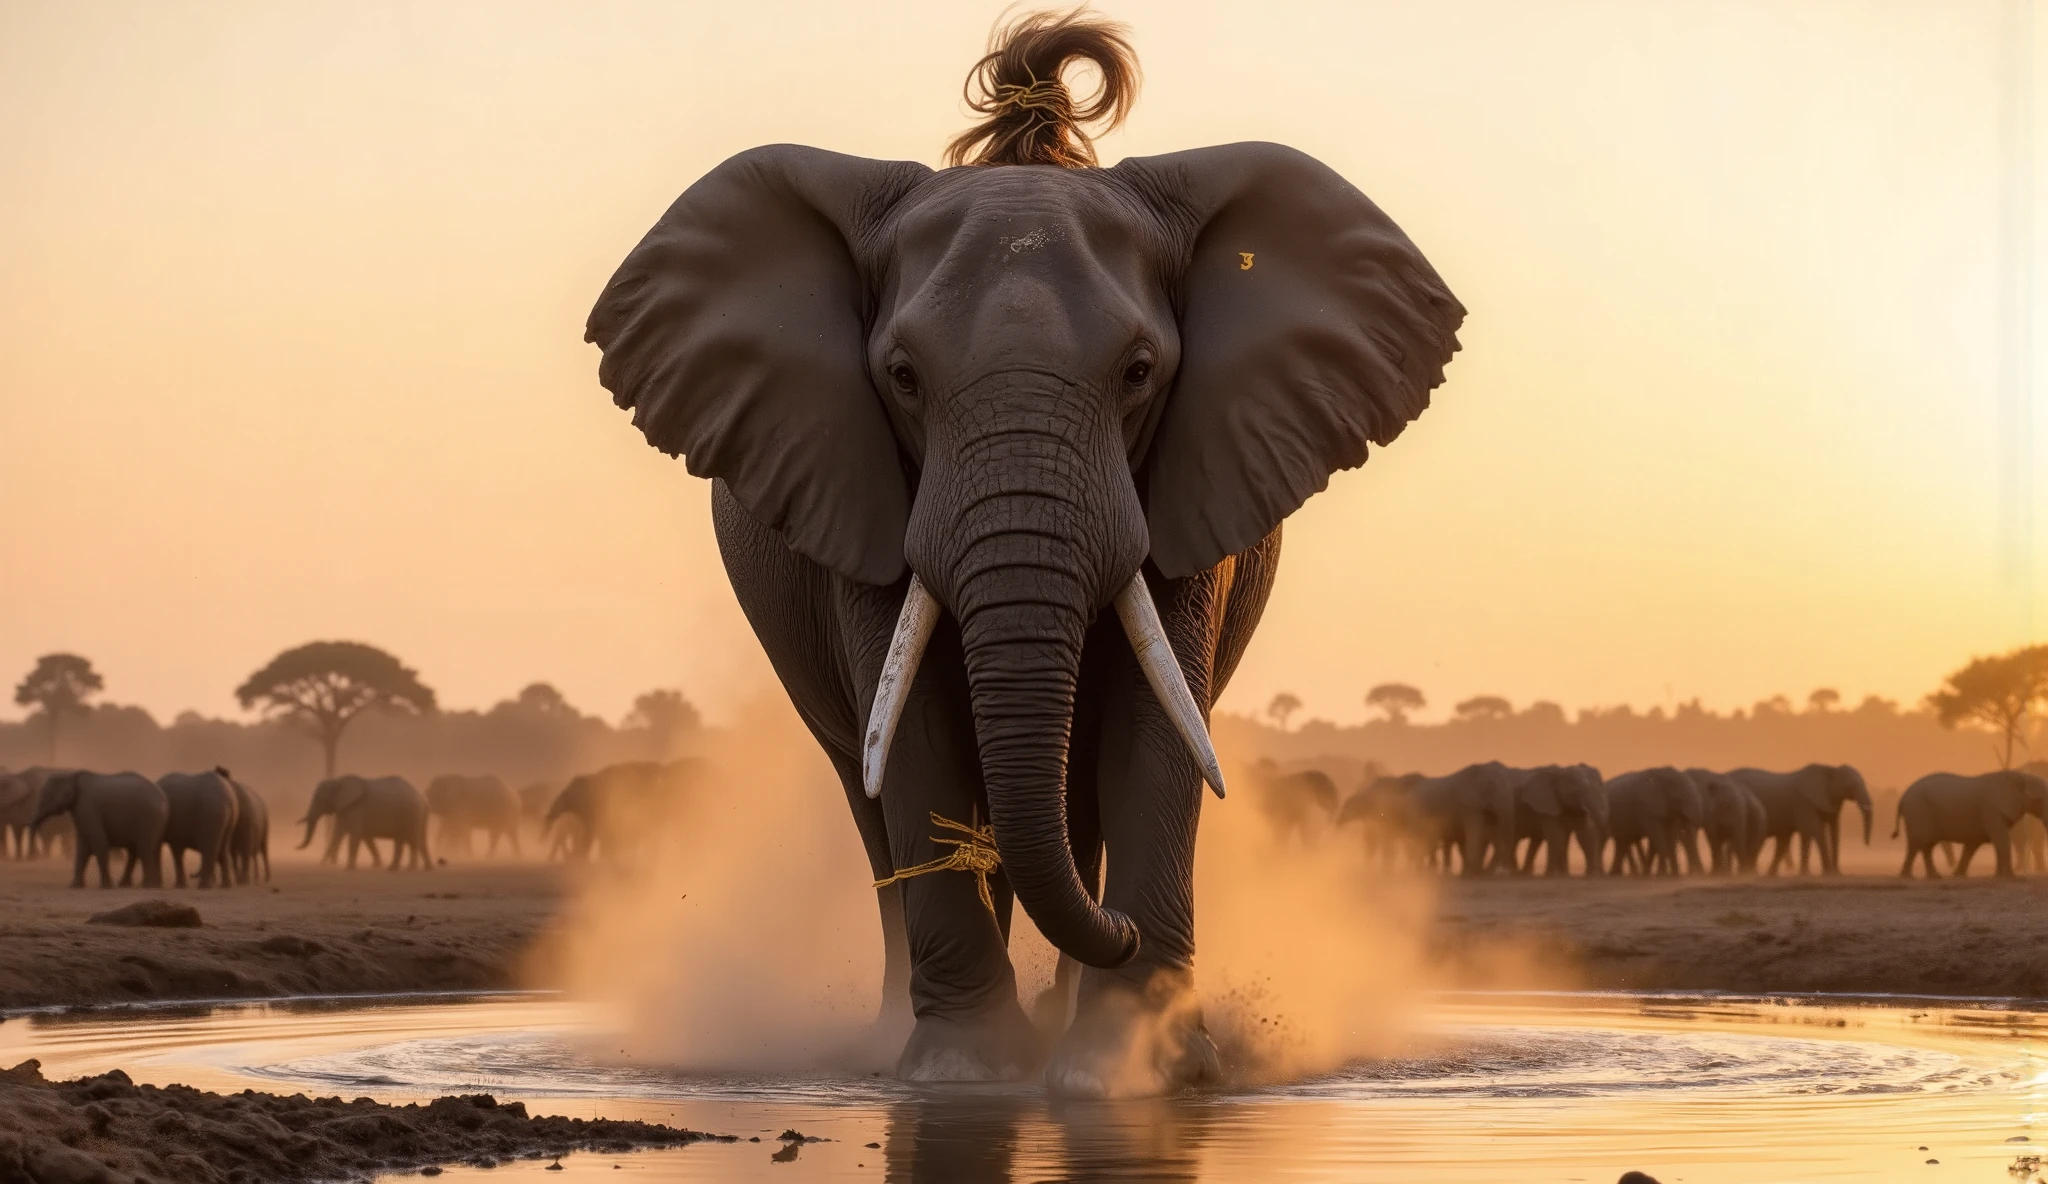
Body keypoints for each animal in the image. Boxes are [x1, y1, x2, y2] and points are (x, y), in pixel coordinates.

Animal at [31, 770, 168, 889]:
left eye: (47, 796)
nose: (37, 854)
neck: (72, 776)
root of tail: (163, 798)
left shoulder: (88, 807)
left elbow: (99, 842)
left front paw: (106, 887)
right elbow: (82, 848)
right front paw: (74, 886)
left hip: (148, 818)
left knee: (144, 849)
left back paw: (147, 886)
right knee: (138, 850)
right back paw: (133, 885)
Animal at [299, 775, 431, 871]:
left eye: (319, 799)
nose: (296, 847)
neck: (339, 781)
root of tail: (421, 798)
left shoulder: (356, 807)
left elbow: (355, 834)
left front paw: (349, 868)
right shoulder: (345, 808)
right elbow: (339, 834)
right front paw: (325, 865)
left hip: (412, 813)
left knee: (412, 841)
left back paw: (409, 869)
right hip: (414, 815)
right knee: (413, 841)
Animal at [581, 13, 1462, 1094]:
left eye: (1139, 372)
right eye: (902, 377)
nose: (1123, 932)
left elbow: (1153, 727)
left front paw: (1130, 1070)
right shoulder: (861, 491)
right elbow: (916, 726)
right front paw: (960, 1074)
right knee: (871, 792)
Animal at [1728, 764, 1872, 875]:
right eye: (1849, 786)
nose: (1866, 844)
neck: (1829, 769)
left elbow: (1829, 829)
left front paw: (1829, 873)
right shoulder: (1803, 803)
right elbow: (1815, 830)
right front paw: (1827, 873)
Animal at [1895, 769, 2048, 878]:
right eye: (2040, 800)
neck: (2023, 776)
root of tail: (1902, 797)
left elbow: (1972, 845)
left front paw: (1959, 875)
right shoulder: (1991, 810)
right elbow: (2002, 839)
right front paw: (2007, 877)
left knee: (1926, 846)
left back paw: (1933, 877)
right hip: (1918, 811)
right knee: (1918, 844)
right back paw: (1909, 877)